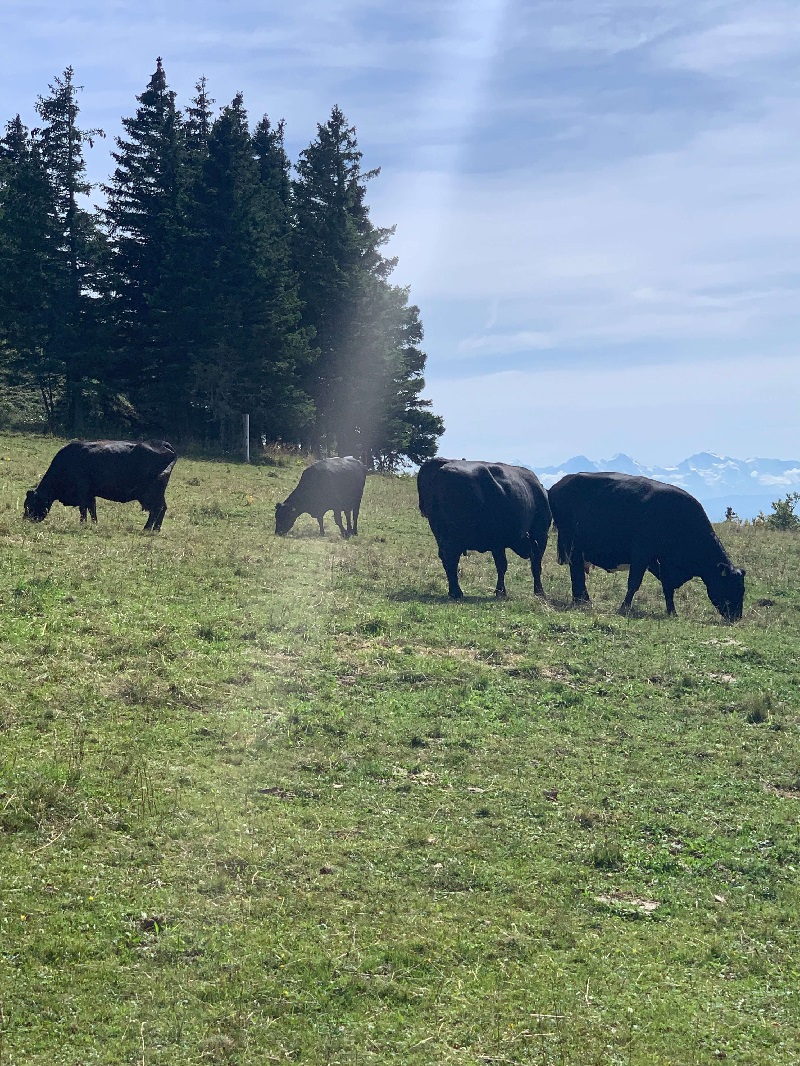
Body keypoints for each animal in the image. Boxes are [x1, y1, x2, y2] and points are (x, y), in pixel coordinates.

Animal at [24, 439, 177, 530]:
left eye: (30, 505)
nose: (25, 520)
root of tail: (162, 443)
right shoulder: (90, 493)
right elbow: (92, 508)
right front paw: (94, 524)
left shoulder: (82, 490)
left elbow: (83, 508)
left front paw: (82, 523)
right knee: (161, 509)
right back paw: (154, 529)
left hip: (152, 492)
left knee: (157, 509)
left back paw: (148, 528)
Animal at [420, 458, 550, 601]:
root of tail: (444, 463)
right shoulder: (540, 536)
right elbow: (534, 565)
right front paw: (539, 592)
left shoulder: (497, 543)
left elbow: (501, 565)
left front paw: (500, 591)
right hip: (453, 538)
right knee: (451, 559)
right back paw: (456, 592)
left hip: (441, 534)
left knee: (446, 559)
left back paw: (454, 591)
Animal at [550, 473, 746, 622]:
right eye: (730, 586)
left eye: (742, 588)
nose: (736, 616)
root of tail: (559, 485)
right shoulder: (641, 553)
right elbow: (634, 583)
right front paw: (624, 608)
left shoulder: (660, 562)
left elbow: (667, 586)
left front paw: (672, 611)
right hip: (573, 545)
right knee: (577, 573)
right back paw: (583, 601)